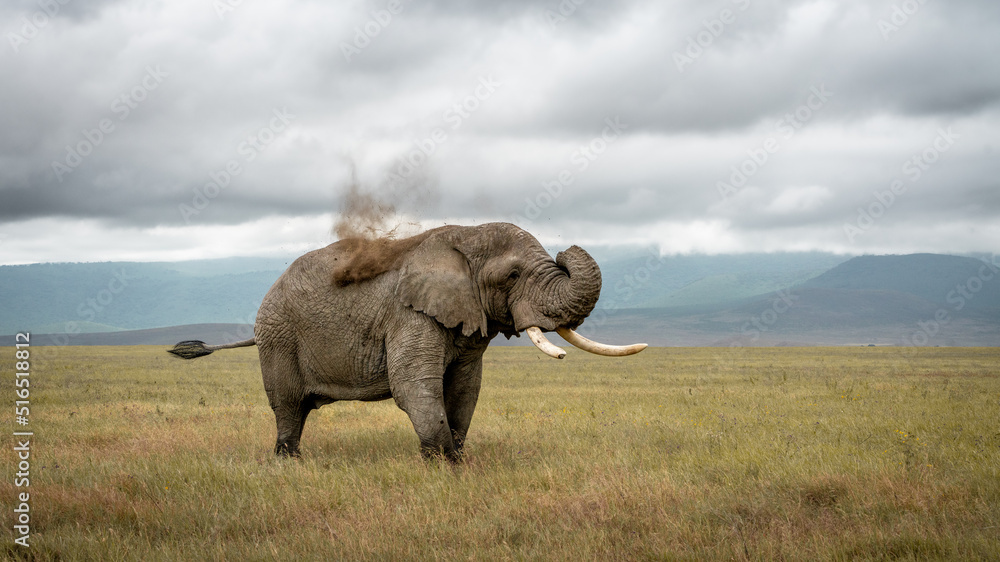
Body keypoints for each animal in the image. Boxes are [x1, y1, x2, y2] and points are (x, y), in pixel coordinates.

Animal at [169, 222, 646, 461]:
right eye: (512, 275)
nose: (565, 253)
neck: (462, 238)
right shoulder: (409, 313)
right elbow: (413, 385)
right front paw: (444, 467)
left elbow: (464, 389)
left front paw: (458, 462)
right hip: (278, 335)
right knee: (287, 404)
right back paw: (288, 463)